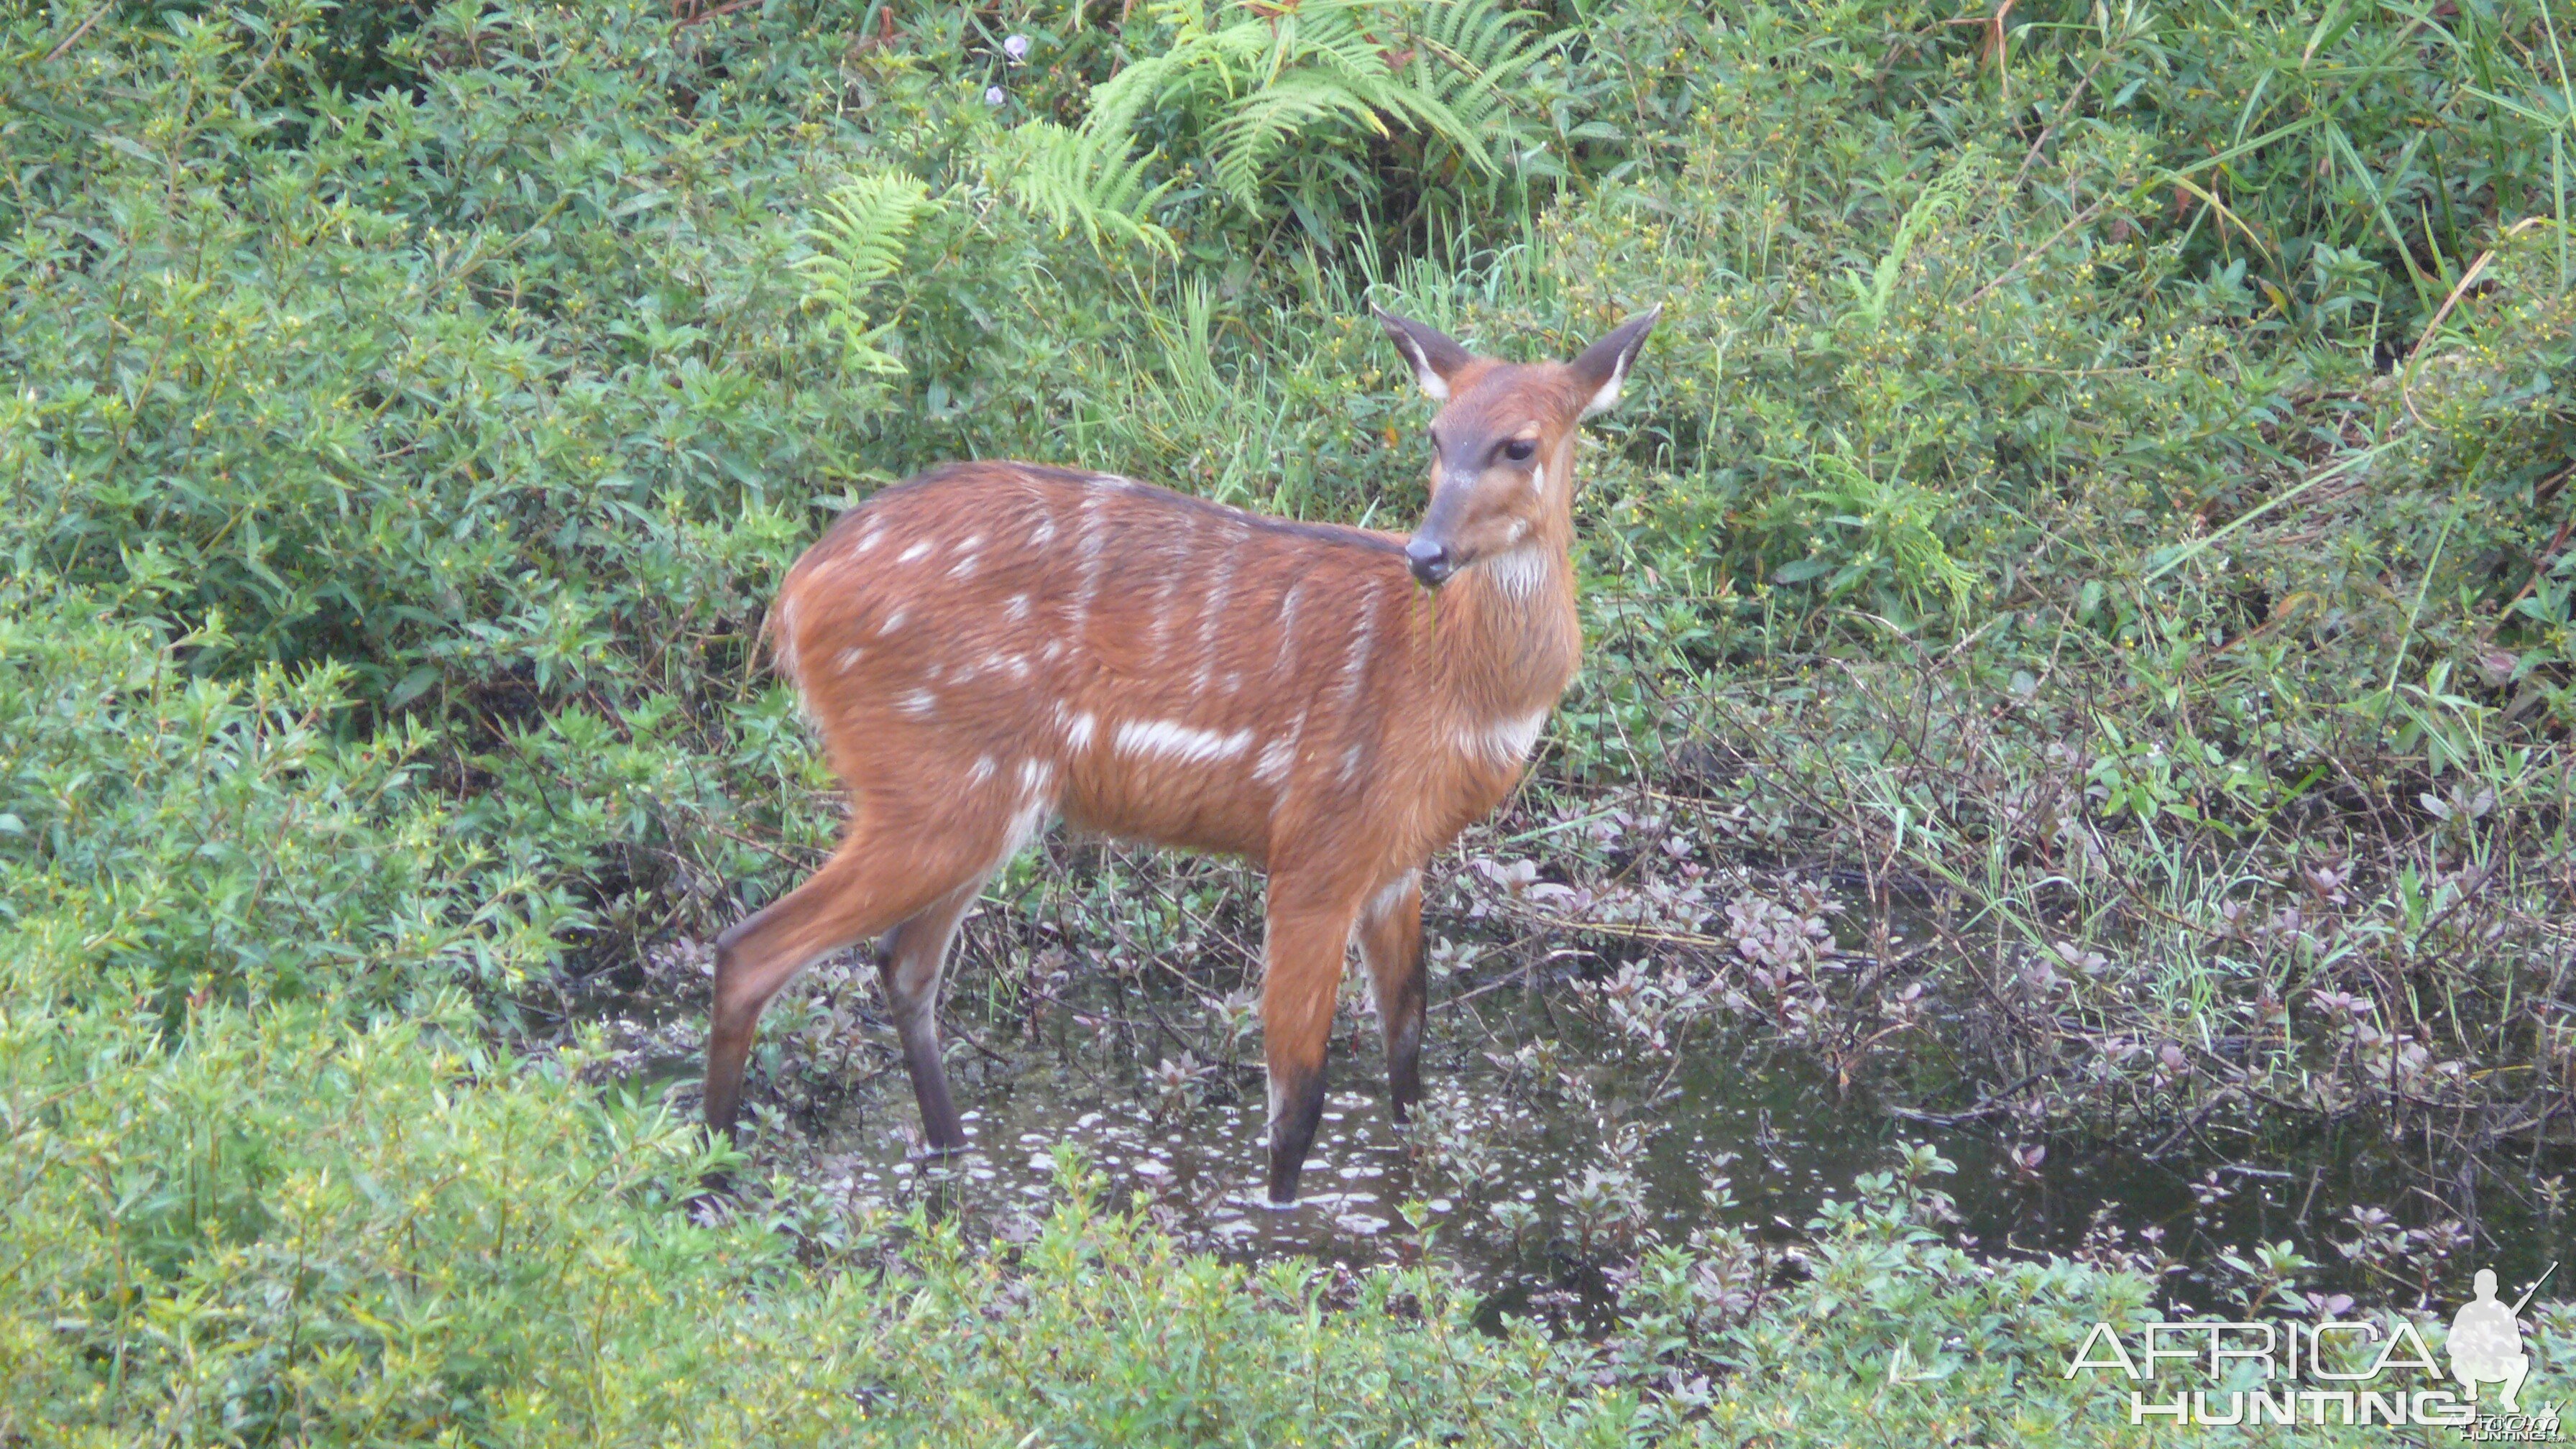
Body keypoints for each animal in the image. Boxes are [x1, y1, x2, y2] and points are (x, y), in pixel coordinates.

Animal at [706, 301, 1659, 1196]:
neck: (1455, 688)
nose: (1427, 553)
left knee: (903, 966)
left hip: (979, 802)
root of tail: (794, 596)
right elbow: (1296, 1097)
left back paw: (941, 1151)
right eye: (1434, 433)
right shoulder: (1317, 847)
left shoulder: (1396, 860)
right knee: (751, 950)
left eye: (1518, 444)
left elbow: (1407, 1049)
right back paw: (710, 1178)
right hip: (938, 781)